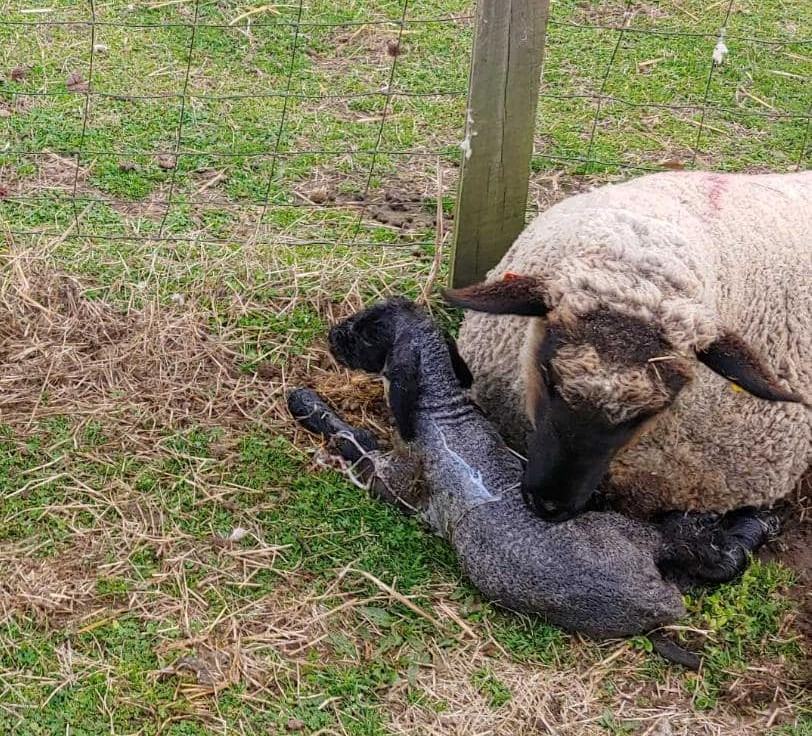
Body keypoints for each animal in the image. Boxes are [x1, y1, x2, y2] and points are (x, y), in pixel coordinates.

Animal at [287, 298, 778, 643]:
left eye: (367, 331)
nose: (332, 334)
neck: (441, 412)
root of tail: (655, 602)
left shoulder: (395, 482)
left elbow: (355, 443)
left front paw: (306, 403)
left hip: (623, 533)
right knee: (712, 560)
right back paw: (751, 521)